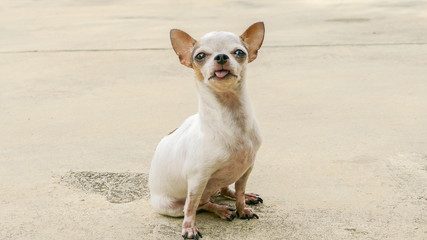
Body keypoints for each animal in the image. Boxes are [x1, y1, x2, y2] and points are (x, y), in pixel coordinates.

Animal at [149, 21, 266, 239]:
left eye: (240, 52)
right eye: (200, 56)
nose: (221, 57)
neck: (231, 119)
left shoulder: (246, 169)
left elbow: (239, 191)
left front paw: (242, 208)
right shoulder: (197, 179)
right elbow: (191, 206)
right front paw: (189, 228)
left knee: (224, 190)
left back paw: (244, 197)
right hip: (171, 206)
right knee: (202, 203)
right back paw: (220, 210)